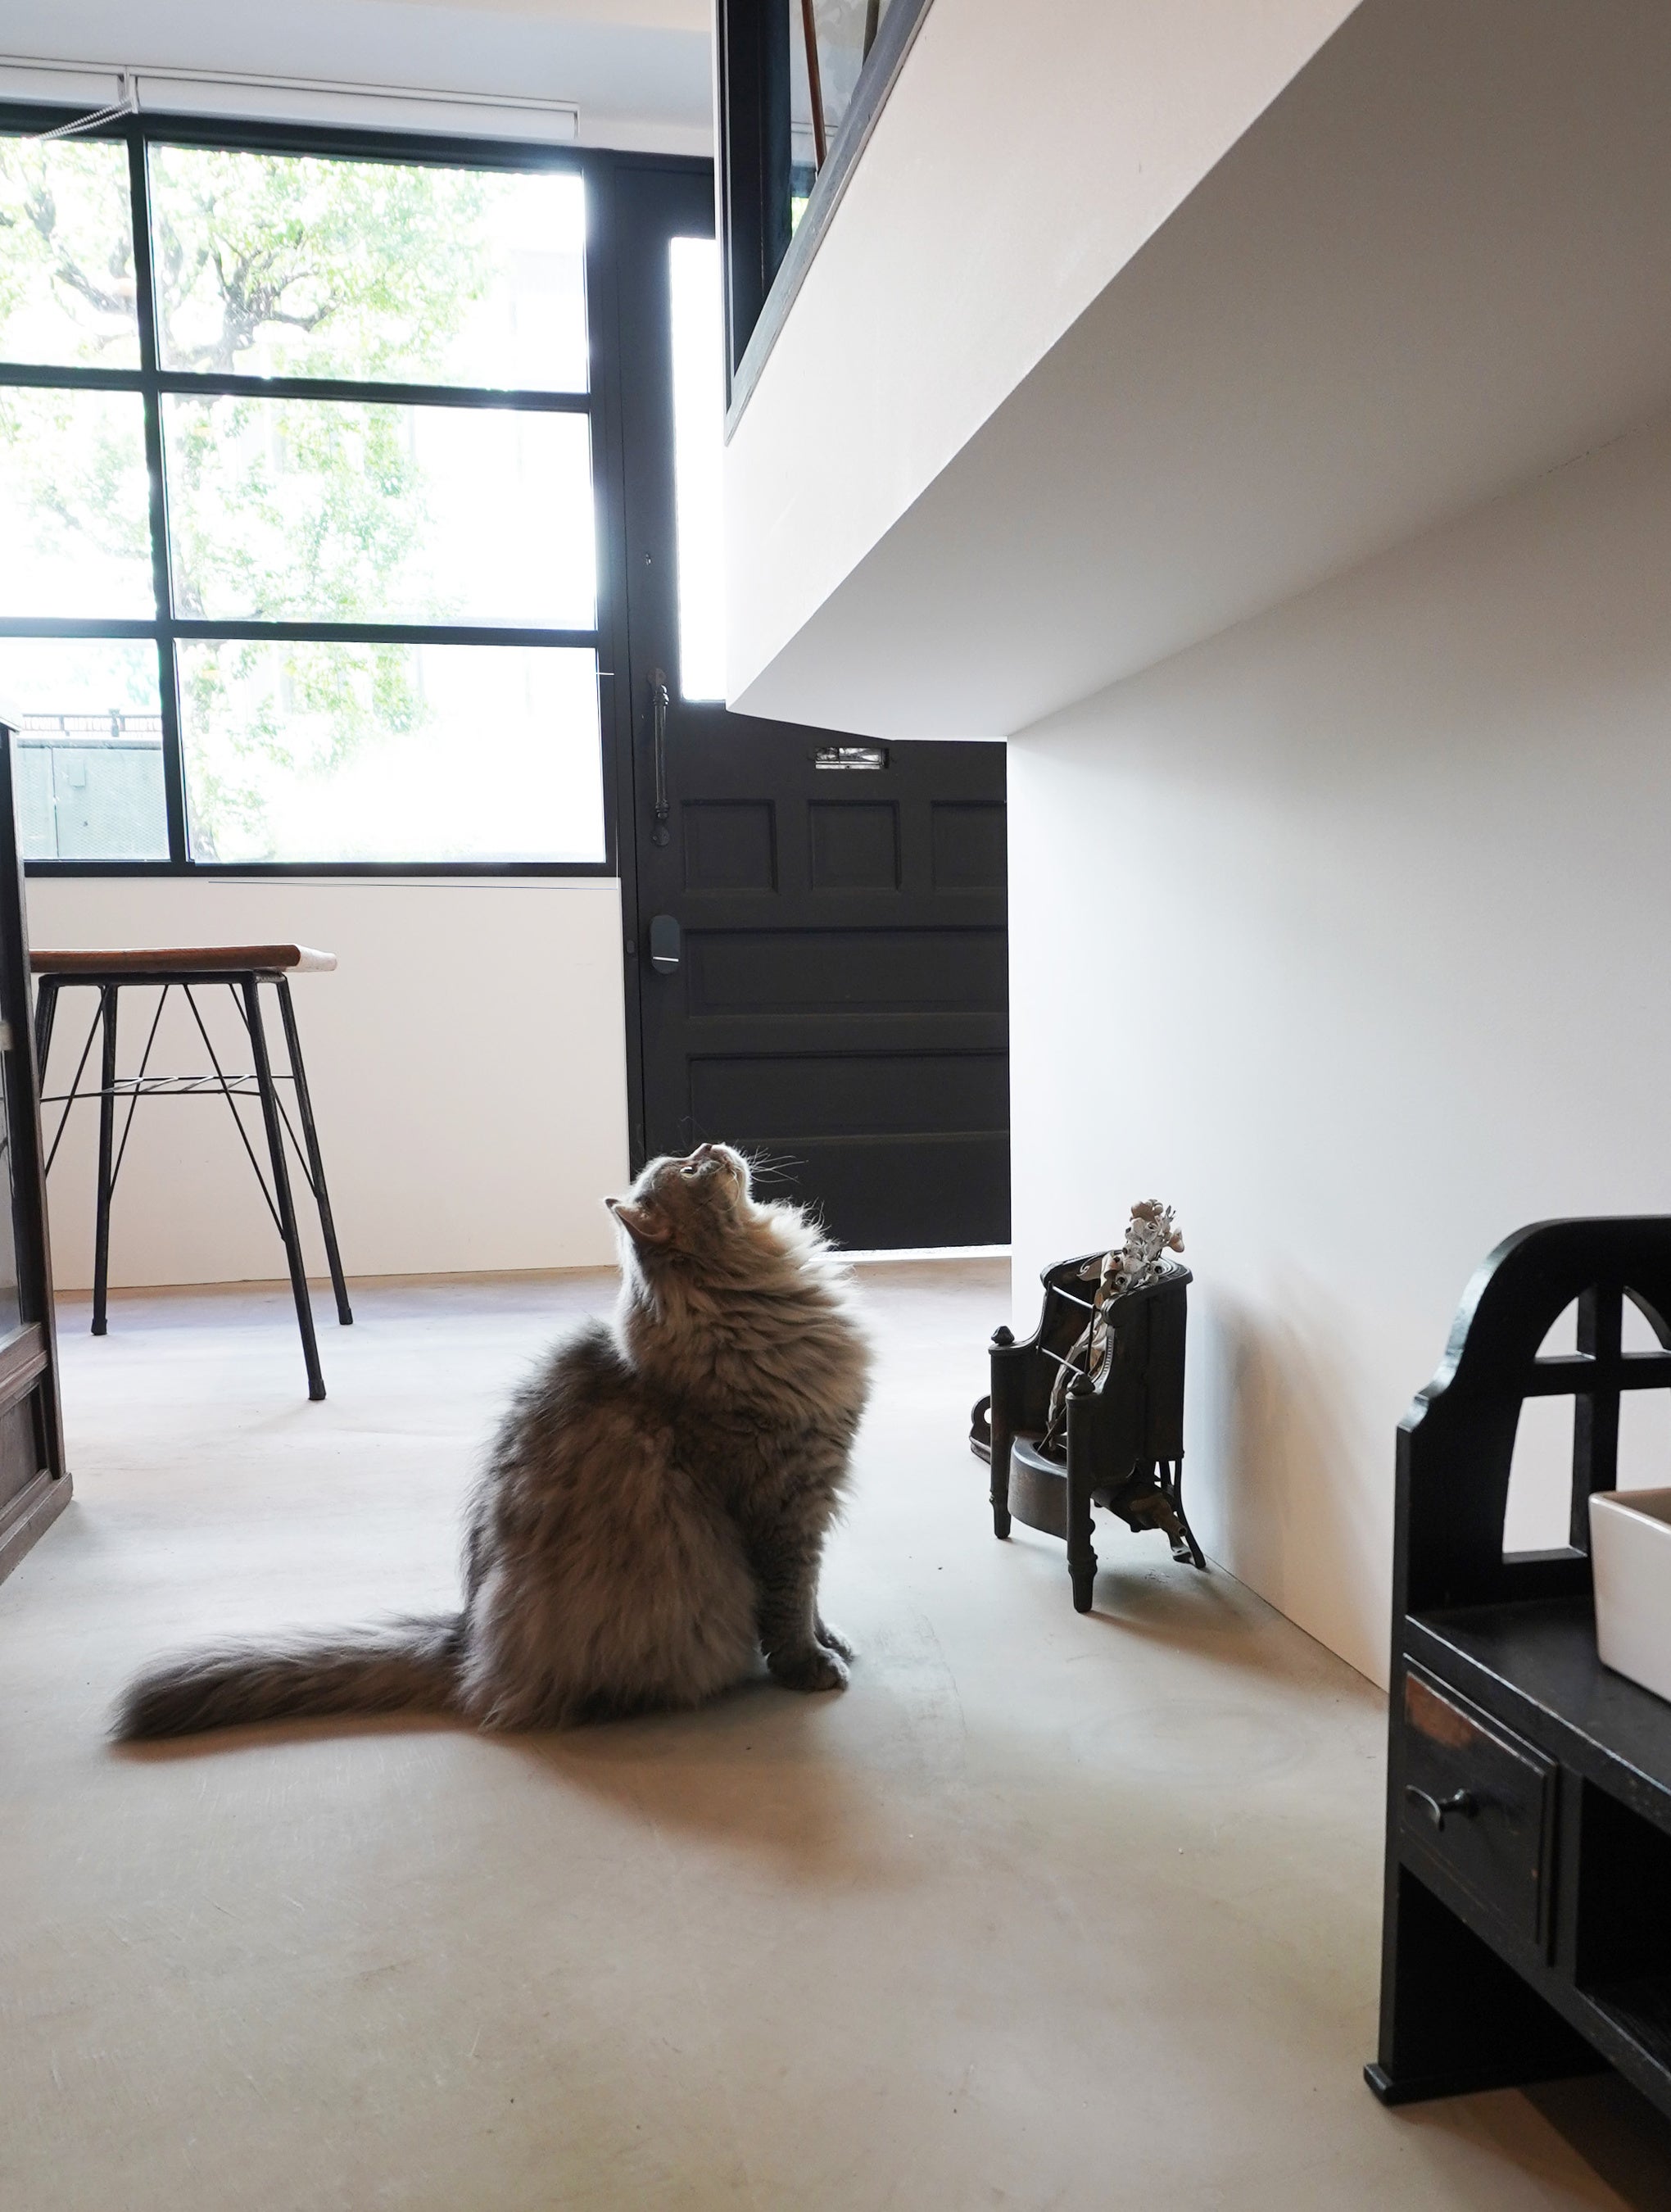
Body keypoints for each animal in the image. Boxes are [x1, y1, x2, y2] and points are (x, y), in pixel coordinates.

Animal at [115, 1142, 872, 1739]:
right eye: (690, 1169)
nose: (714, 1144)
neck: (744, 1300)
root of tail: (466, 1637)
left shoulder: (811, 1500)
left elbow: (811, 1597)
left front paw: (832, 1640)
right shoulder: (784, 1502)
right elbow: (788, 1602)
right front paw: (811, 1667)